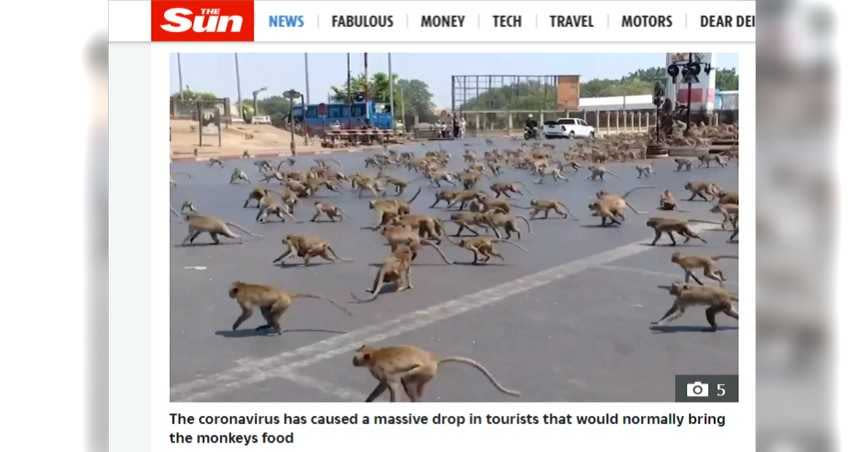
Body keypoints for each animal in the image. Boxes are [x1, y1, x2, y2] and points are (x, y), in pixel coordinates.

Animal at [352, 344, 520, 404]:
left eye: (356, 358)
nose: (353, 361)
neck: (374, 354)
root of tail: (434, 359)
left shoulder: (380, 369)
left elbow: (393, 386)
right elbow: (382, 386)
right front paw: (368, 400)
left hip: (425, 370)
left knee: (406, 379)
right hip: (428, 373)